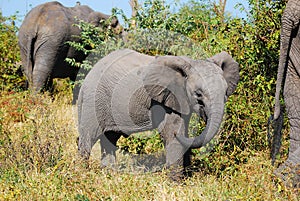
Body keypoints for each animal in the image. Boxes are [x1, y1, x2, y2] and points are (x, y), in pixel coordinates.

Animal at [78, 48, 239, 179]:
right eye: (198, 94)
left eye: (226, 92)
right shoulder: (163, 101)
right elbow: (172, 133)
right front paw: (176, 184)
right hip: (93, 101)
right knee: (88, 137)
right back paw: (83, 174)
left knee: (109, 138)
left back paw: (109, 175)